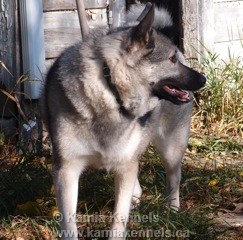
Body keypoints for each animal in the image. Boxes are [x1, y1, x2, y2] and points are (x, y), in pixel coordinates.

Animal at [42, 2, 206, 239]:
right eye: (171, 60)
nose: (204, 79)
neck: (109, 89)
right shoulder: (66, 170)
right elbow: (69, 223)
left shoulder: (124, 164)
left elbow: (119, 219)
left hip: (171, 148)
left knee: (173, 177)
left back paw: (172, 210)